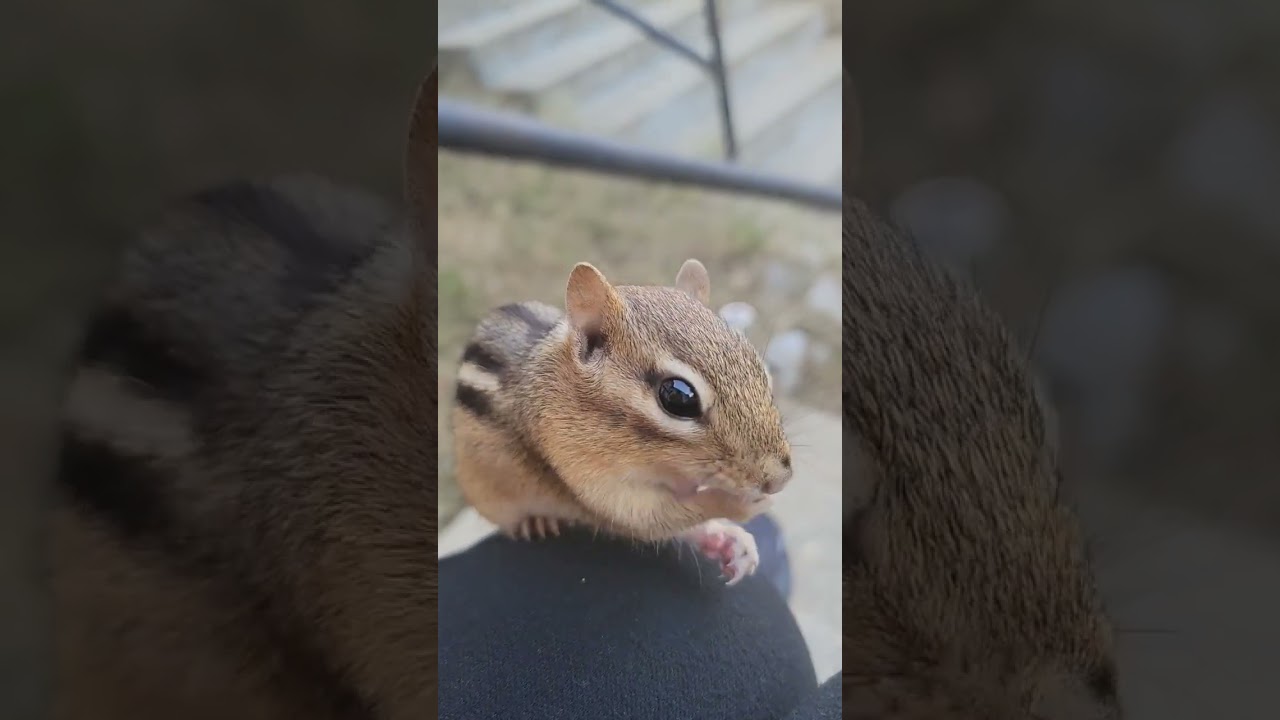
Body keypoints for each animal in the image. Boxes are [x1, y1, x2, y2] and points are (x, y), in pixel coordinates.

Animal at [450, 259, 793, 585]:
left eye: (761, 369)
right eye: (679, 397)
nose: (779, 480)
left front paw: (727, 539)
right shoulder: (589, 480)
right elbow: (656, 518)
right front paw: (743, 507)